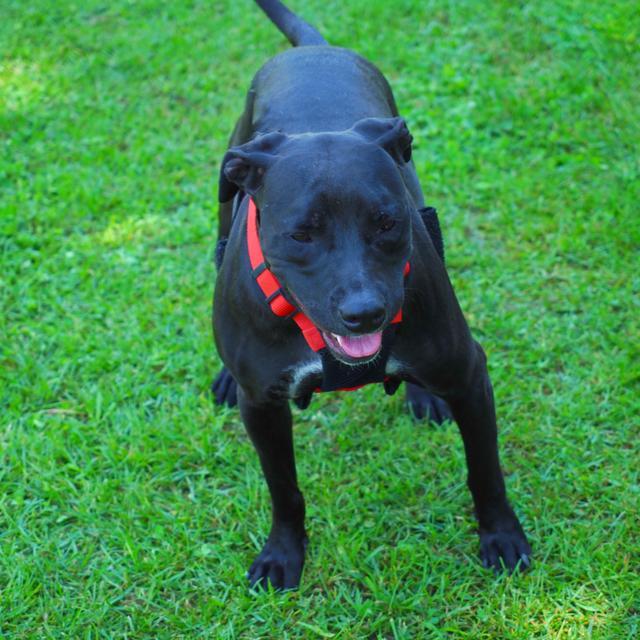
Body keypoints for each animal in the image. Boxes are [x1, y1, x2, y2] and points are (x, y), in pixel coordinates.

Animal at [212, 0, 532, 592]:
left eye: (386, 221)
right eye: (301, 233)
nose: (365, 313)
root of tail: (315, 50)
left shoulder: (470, 375)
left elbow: (485, 471)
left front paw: (501, 536)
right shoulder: (262, 406)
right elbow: (284, 490)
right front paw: (283, 554)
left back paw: (424, 396)